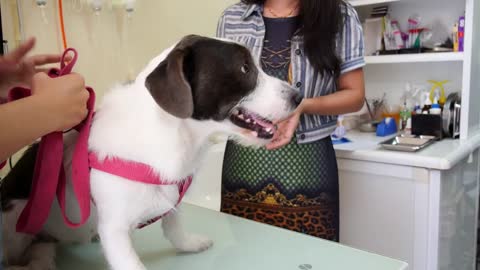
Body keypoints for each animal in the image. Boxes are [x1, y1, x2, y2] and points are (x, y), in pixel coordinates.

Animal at [0, 35, 300, 270]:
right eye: (244, 67)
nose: (298, 96)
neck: (175, 134)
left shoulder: (171, 193)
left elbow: (174, 226)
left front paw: (189, 244)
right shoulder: (115, 231)